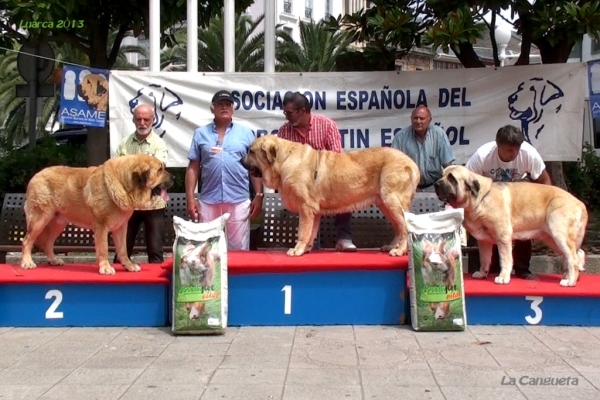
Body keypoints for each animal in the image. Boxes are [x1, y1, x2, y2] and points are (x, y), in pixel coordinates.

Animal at [241, 136, 420, 258]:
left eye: (251, 151)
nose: (240, 159)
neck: (284, 160)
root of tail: (413, 164)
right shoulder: (314, 211)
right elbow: (311, 232)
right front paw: (306, 249)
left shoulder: (305, 208)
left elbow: (303, 232)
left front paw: (297, 250)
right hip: (385, 203)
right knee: (399, 227)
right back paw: (392, 246)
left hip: (391, 200)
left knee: (405, 227)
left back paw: (399, 250)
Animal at [436, 164, 584, 286]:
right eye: (441, 175)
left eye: (452, 178)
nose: (436, 183)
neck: (480, 199)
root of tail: (581, 204)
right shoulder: (483, 241)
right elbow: (484, 259)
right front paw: (482, 273)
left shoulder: (503, 237)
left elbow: (505, 259)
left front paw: (503, 277)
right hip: (552, 239)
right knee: (576, 254)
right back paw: (570, 276)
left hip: (559, 234)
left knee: (573, 258)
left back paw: (570, 281)